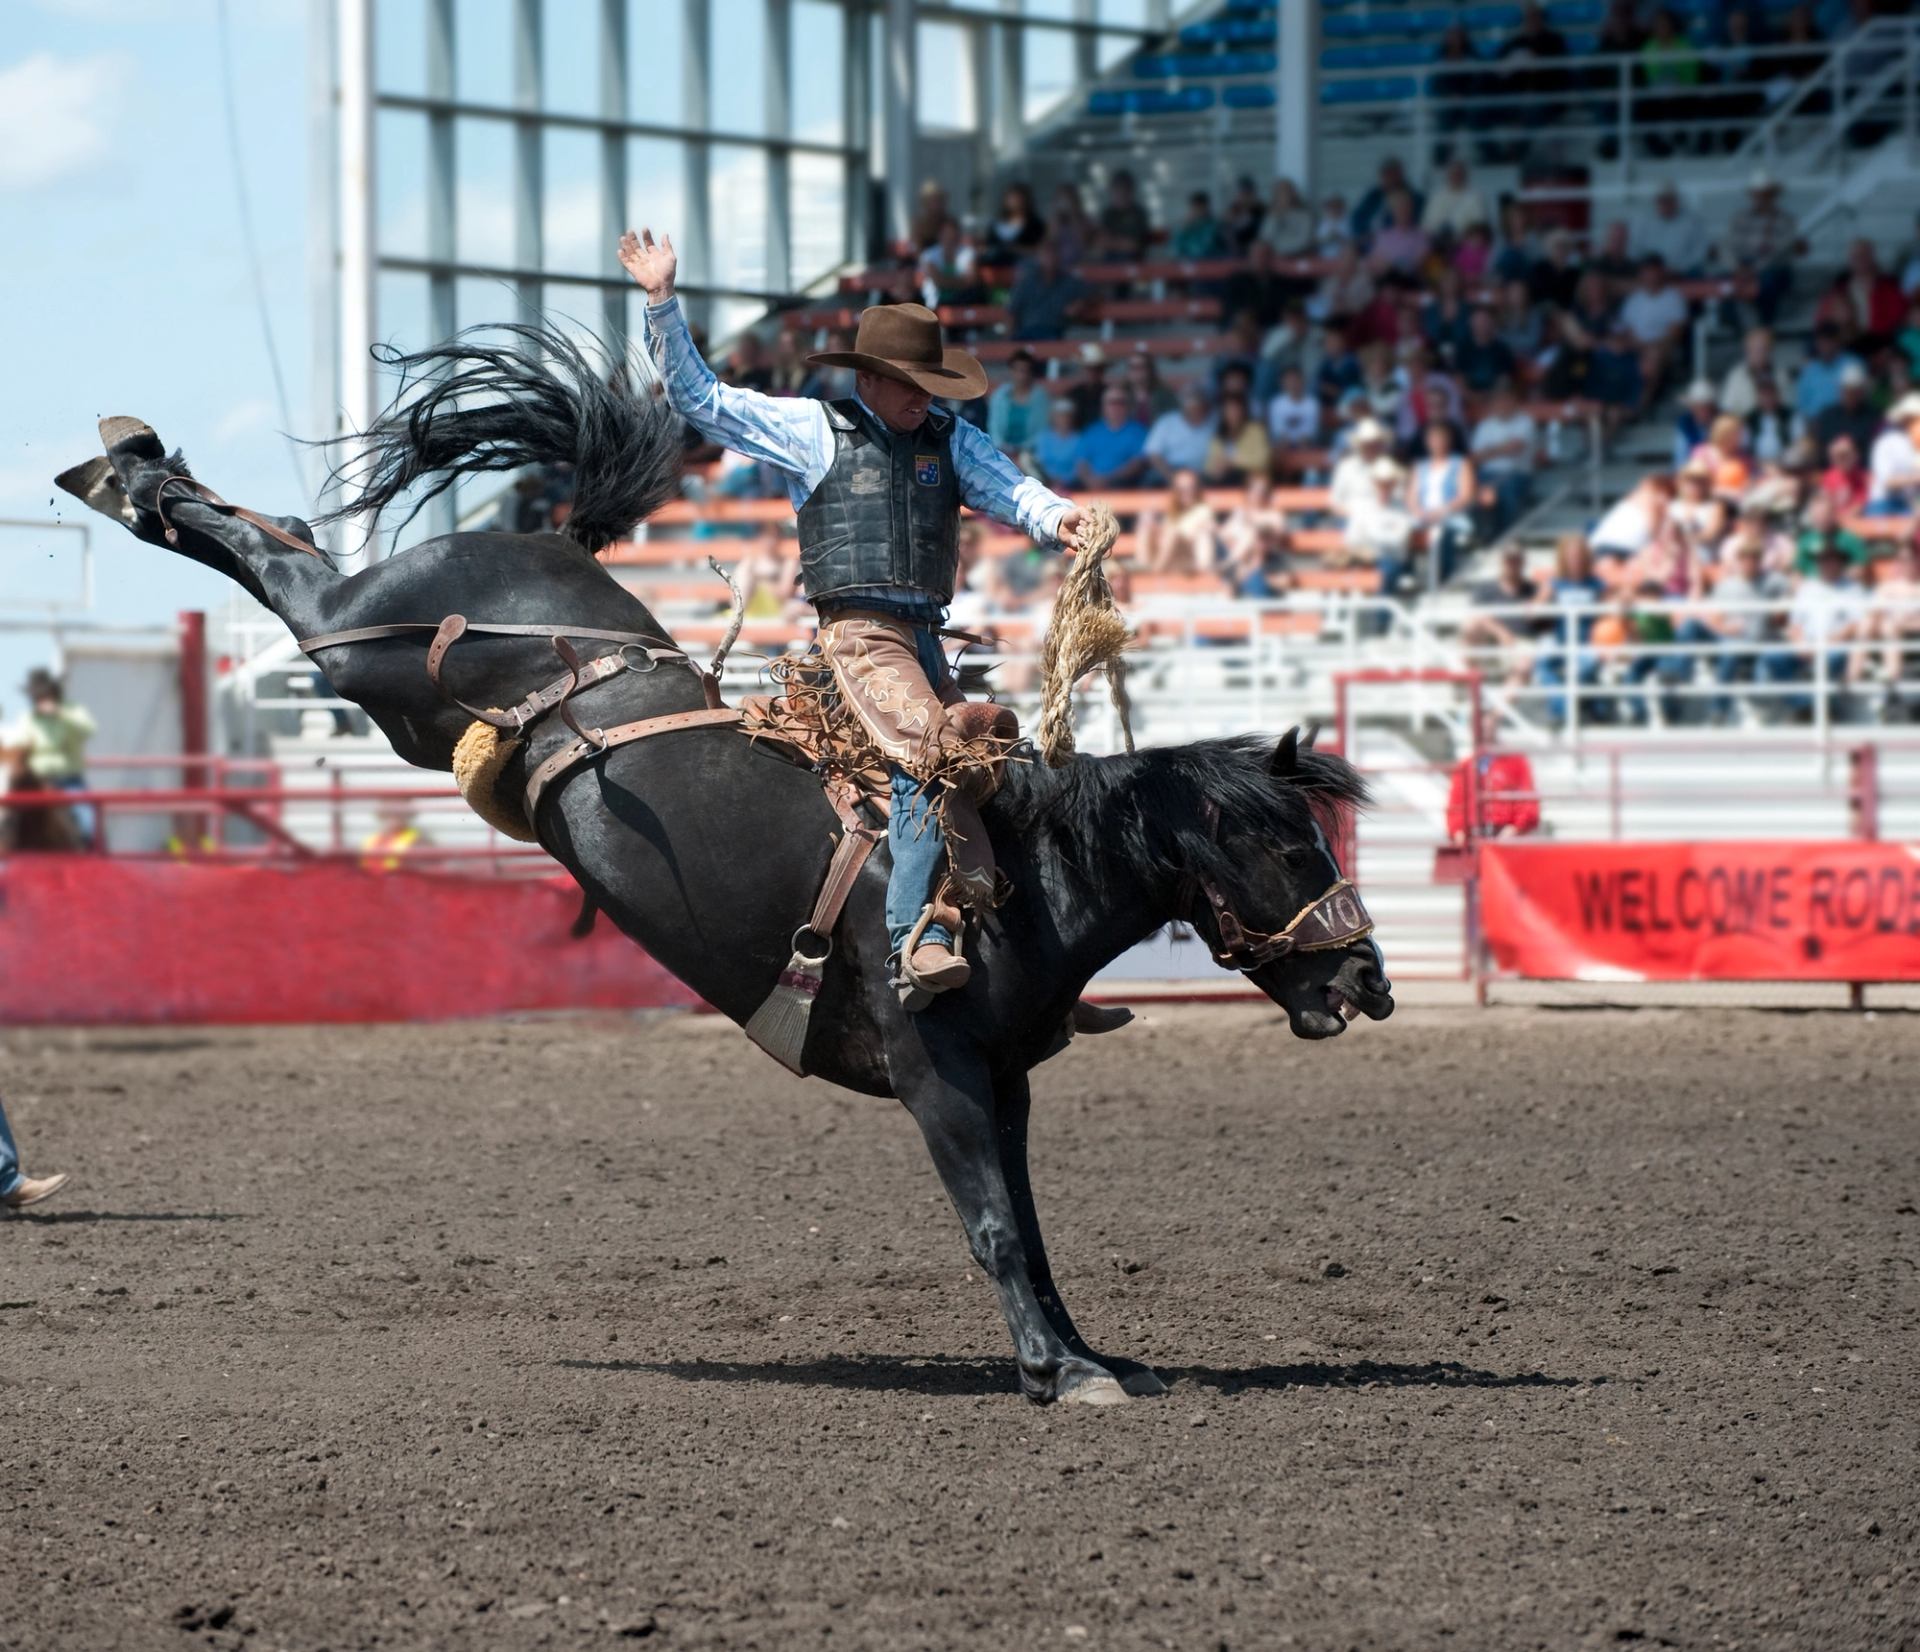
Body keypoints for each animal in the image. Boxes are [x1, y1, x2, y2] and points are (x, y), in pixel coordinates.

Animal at [52, 326, 1390, 1406]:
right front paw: (1061, 1374)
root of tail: (548, 540)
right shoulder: (937, 1069)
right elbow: (995, 1228)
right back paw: (129, 473)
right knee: (286, 566)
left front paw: (1088, 1356)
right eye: (1287, 842)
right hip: (364, 639)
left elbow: (1032, 1226)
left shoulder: (1004, 1077)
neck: (1026, 869)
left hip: (401, 703)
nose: (1370, 981)